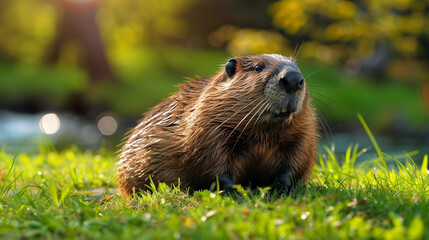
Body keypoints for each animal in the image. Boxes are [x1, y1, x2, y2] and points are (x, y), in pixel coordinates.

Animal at [117, 54, 318, 197]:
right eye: (257, 67)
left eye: (297, 67)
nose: (293, 78)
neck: (263, 133)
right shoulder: (208, 126)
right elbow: (212, 163)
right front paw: (234, 191)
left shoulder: (303, 131)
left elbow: (297, 159)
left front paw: (281, 188)